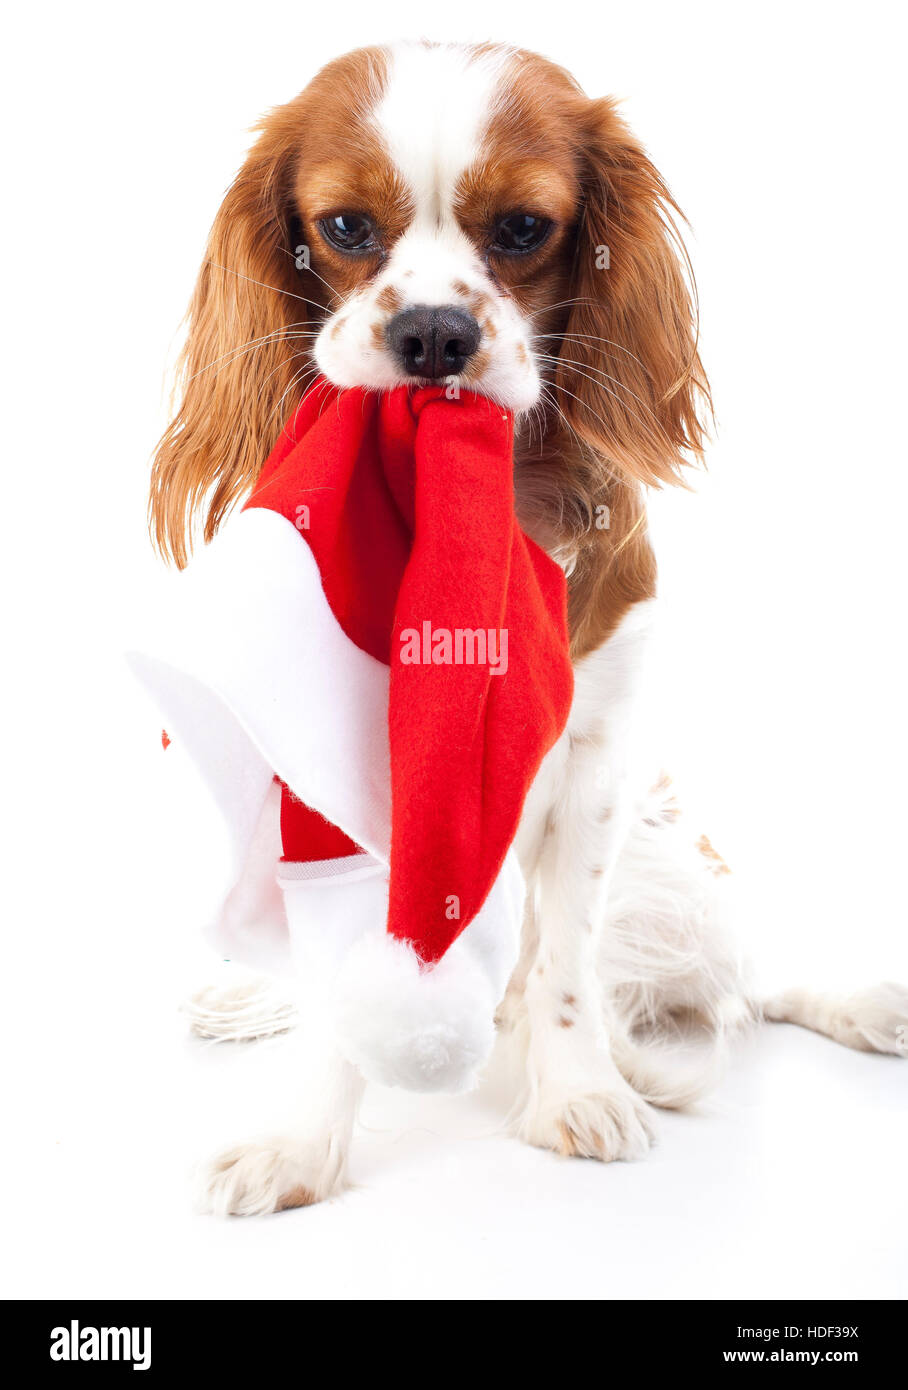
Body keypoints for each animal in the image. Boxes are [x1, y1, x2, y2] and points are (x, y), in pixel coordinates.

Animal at [150, 40, 906, 1217]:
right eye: (345, 226)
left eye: (520, 228)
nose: (432, 332)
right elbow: (340, 983)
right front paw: (297, 1140)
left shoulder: (597, 759)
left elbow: (566, 963)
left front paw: (578, 1094)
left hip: (674, 857)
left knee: (746, 966)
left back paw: (860, 999)